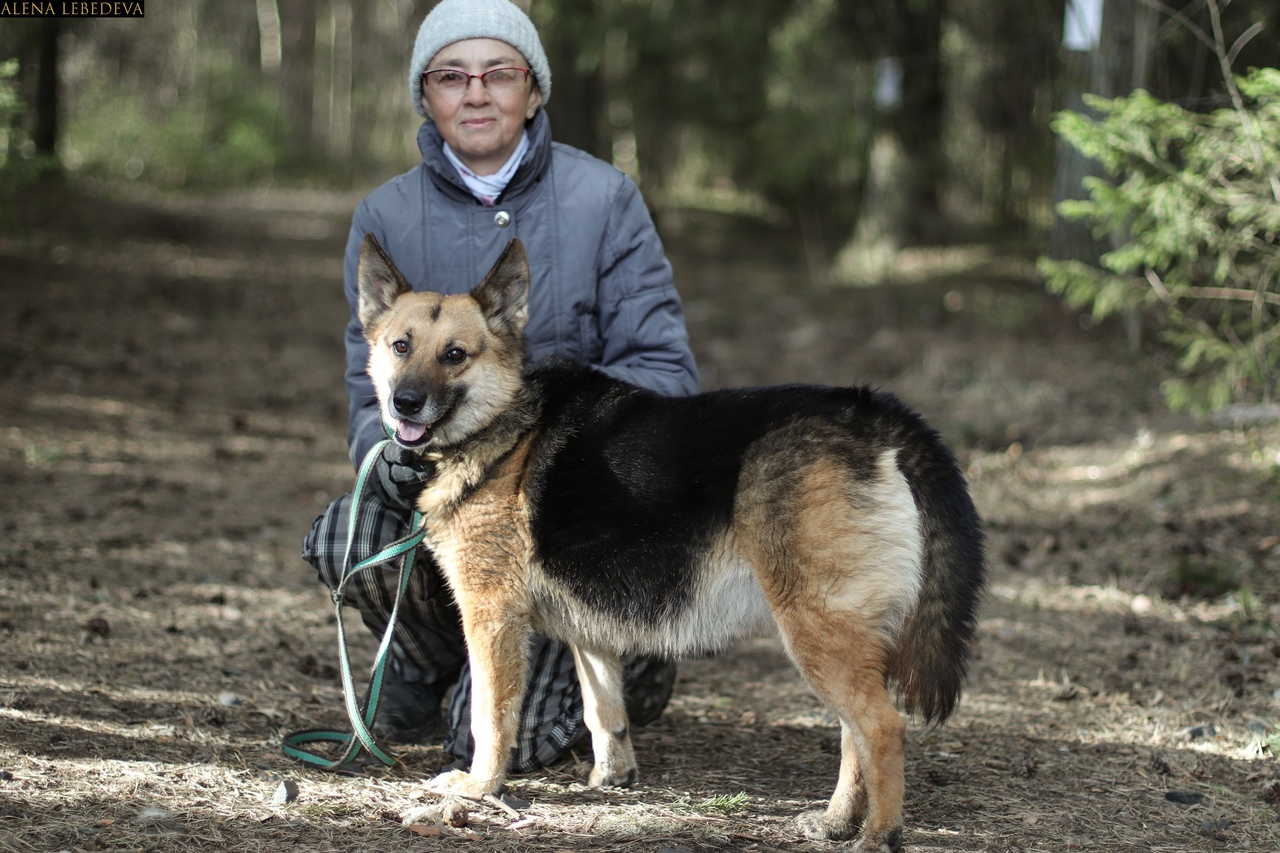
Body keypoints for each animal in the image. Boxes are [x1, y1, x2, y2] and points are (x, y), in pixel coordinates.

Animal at [355, 233, 983, 850]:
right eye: (401, 347)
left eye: (455, 355)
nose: (405, 403)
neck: (507, 421)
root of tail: (869, 411)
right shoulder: (588, 632)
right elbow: (602, 710)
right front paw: (612, 777)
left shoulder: (491, 618)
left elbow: (490, 716)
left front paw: (480, 787)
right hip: (837, 638)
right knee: (855, 731)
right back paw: (835, 821)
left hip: (815, 629)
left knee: (880, 728)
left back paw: (878, 833)